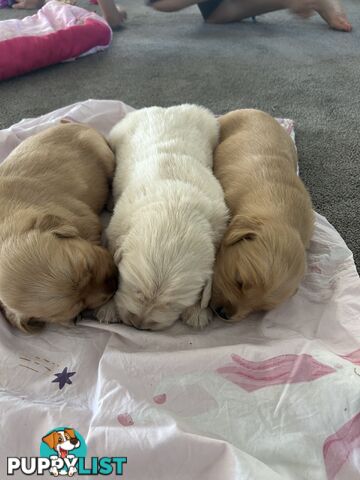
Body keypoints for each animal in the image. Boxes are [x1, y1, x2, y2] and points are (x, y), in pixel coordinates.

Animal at [0, 124, 118, 332]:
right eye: (77, 311)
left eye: (88, 266)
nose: (115, 284)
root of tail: (70, 123)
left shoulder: (85, 220)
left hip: (103, 152)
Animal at [99, 104, 228, 330]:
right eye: (135, 290)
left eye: (172, 304)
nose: (139, 325)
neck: (174, 208)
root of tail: (167, 108)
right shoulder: (116, 227)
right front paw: (108, 308)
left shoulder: (219, 230)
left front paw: (198, 312)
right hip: (118, 134)